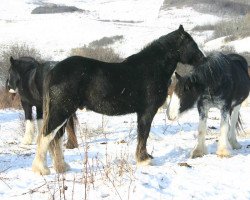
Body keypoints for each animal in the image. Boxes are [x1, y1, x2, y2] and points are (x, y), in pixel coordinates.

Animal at [31, 25, 205, 175]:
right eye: (192, 44)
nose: (203, 59)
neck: (151, 68)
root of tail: (54, 70)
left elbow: (142, 134)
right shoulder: (147, 111)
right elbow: (144, 134)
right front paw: (144, 160)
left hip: (64, 113)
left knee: (56, 138)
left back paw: (61, 167)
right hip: (61, 111)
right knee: (46, 136)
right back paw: (41, 169)